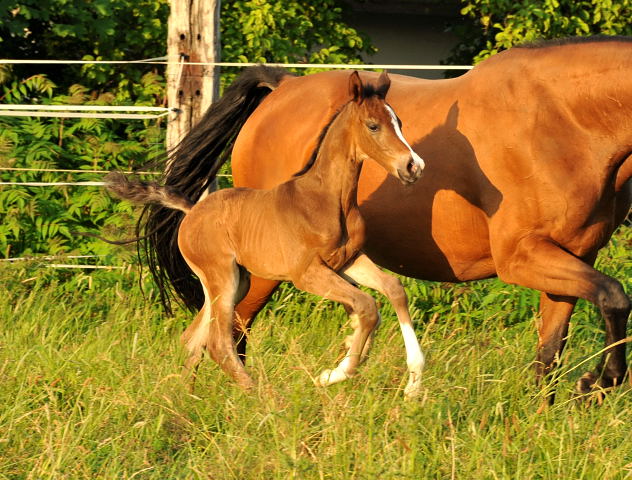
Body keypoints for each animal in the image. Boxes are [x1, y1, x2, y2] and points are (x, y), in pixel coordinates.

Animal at [107, 70, 424, 394]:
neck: (328, 199)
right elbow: (366, 305)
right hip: (223, 278)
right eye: (373, 125)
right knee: (218, 342)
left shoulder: (348, 261)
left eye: (399, 122)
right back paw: (259, 396)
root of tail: (192, 210)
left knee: (193, 338)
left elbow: (392, 290)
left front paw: (412, 379)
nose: (413, 166)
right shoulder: (307, 273)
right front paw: (335, 373)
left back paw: (185, 397)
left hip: (234, 282)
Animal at [144, 35, 632, 404]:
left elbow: (552, 351)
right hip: (261, 273)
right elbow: (615, 297)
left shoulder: (574, 254)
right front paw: (599, 382)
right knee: (230, 332)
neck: (561, 120)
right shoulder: (523, 258)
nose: (413, 167)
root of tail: (282, 86)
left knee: (211, 332)